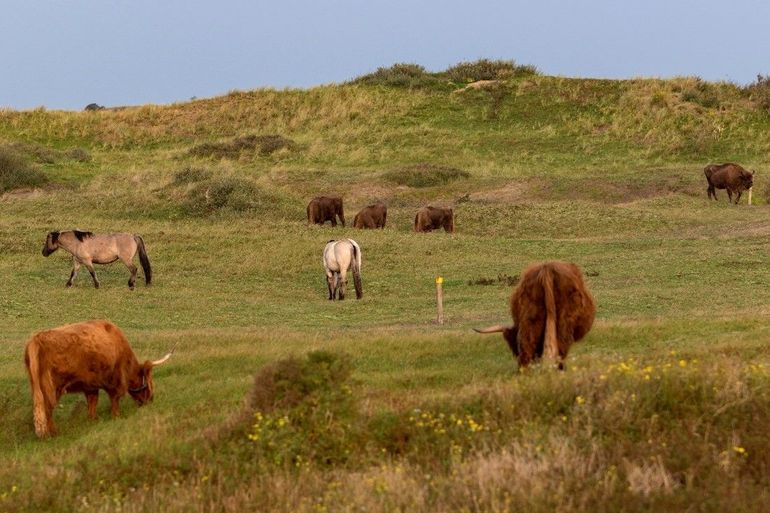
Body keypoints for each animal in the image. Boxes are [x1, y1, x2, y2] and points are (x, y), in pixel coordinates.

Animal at [24, 320, 175, 436]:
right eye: (149, 384)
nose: (150, 400)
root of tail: (36, 339)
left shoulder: (90, 385)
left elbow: (92, 403)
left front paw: (94, 420)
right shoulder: (114, 380)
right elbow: (114, 398)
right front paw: (116, 417)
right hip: (51, 387)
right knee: (47, 409)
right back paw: (53, 433)